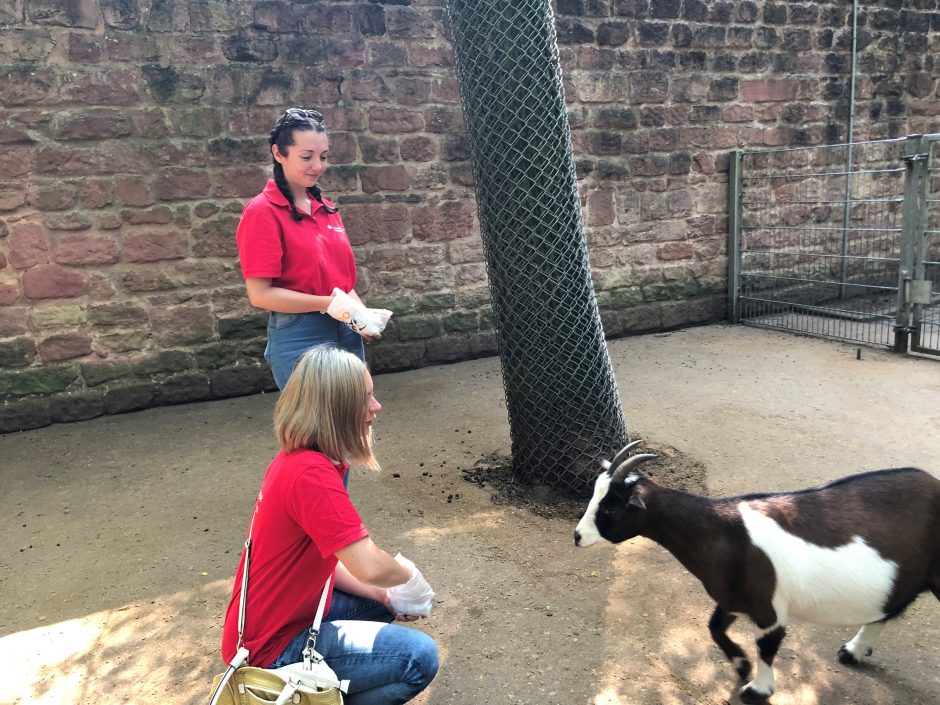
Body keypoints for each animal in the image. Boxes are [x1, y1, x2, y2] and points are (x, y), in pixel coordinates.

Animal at [572, 442, 940, 700]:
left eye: (611, 508)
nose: (577, 536)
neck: (727, 535)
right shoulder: (733, 596)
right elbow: (714, 627)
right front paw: (741, 665)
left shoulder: (769, 609)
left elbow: (766, 646)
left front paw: (757, 690)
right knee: (890, 607)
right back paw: (852, 652)